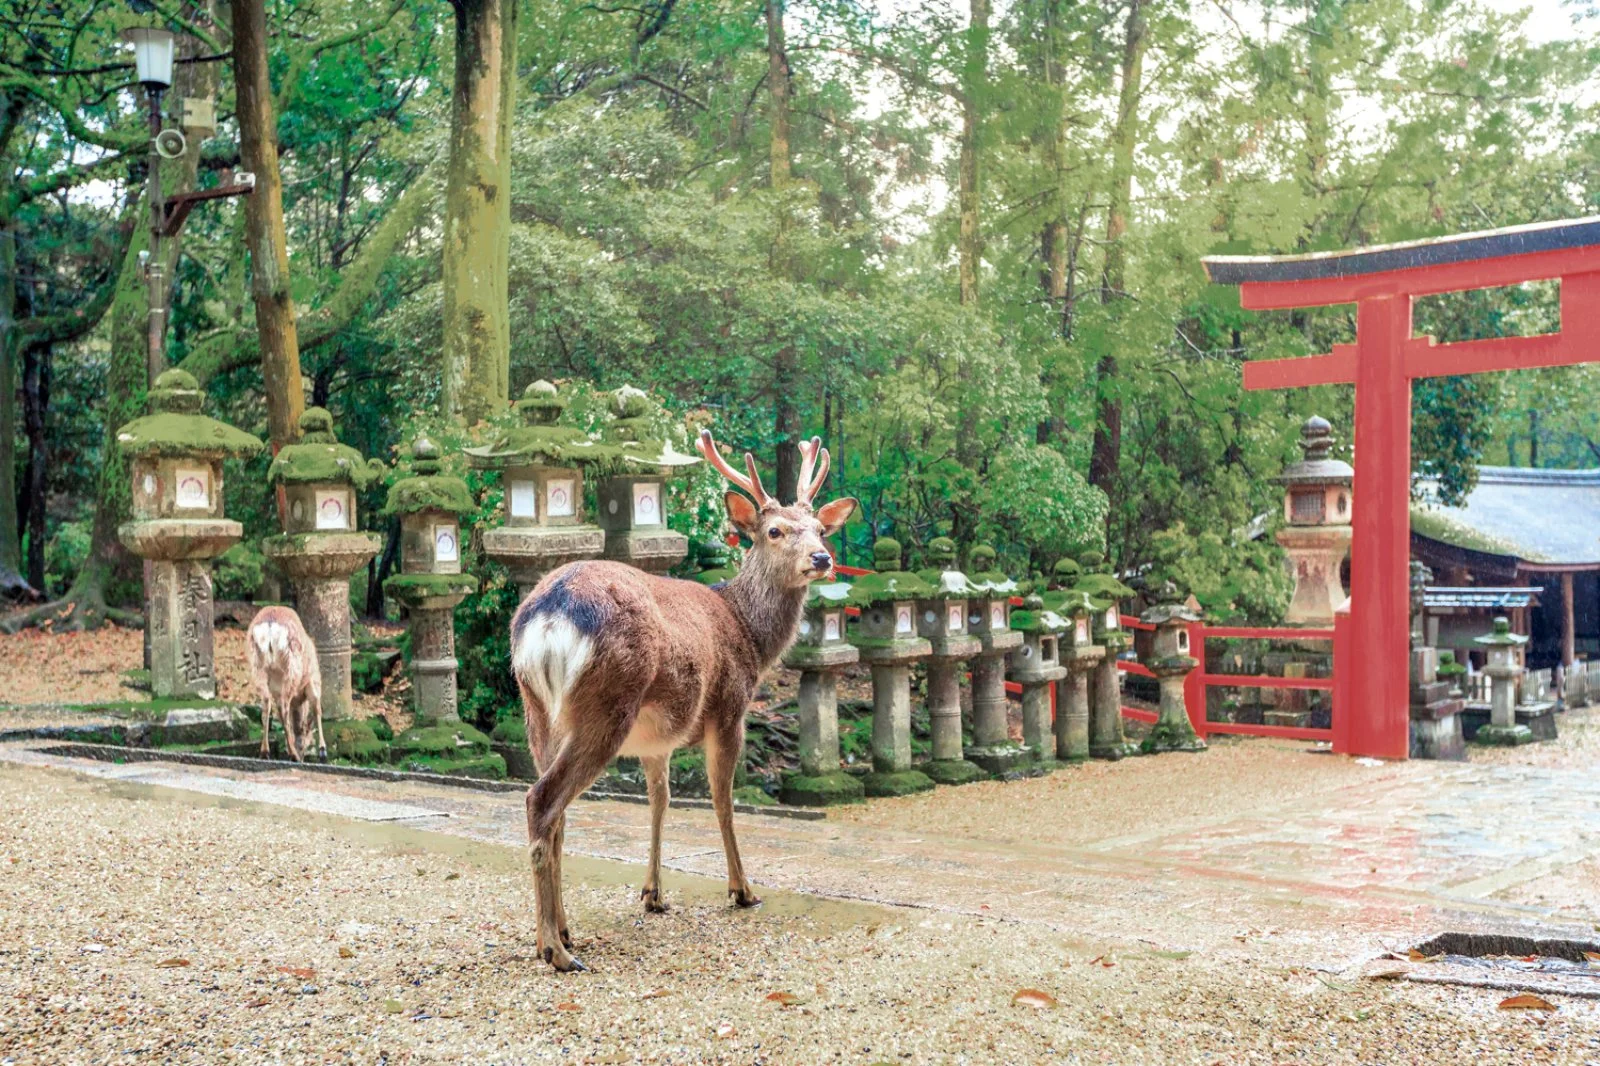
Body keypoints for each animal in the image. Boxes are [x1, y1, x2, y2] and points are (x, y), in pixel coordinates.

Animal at [244, 601, 323, 758]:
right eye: (307, 743)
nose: (302, 755)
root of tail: (269, 625)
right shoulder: (313, 679)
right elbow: (317, 707)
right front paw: (323, 751)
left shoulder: (276, 690)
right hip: (291, 667)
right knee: (285, 708)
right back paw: (292, 755)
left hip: (257, 666)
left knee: (266, 705)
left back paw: (265, 751)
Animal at [512, 428, 864, 966]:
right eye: (774, 531)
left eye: (820, 530)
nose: (821, 559)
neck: (749, 634)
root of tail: (550, 615)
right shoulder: (730, 708)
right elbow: (722, 800)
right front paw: (742, 889)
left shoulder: (656, 740)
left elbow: (661, 801)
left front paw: (653, 894)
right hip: (607, 703)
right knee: (542, 800)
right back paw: (555, 949)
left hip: (537, 709)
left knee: (557, 814)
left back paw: (559, 933)